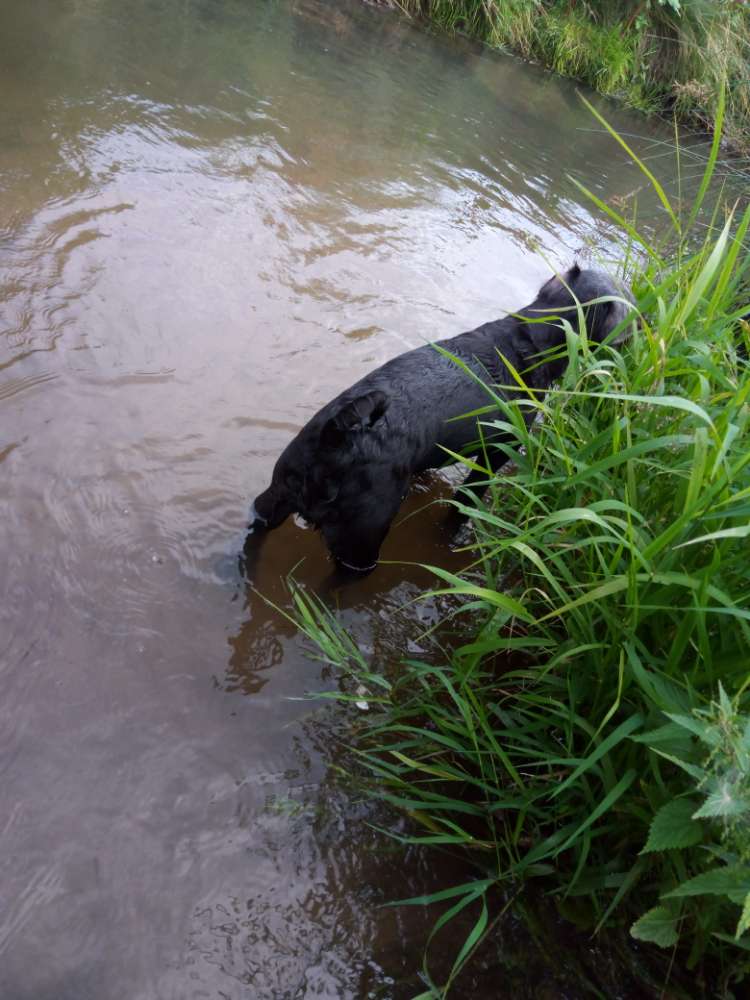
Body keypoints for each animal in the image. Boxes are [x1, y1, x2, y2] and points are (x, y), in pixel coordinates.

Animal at [250, 266, 632, 576]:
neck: (530, 340)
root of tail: (336, 437)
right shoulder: (495, 452)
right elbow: (467, 500)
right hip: (360, 543)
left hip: (275, 498)